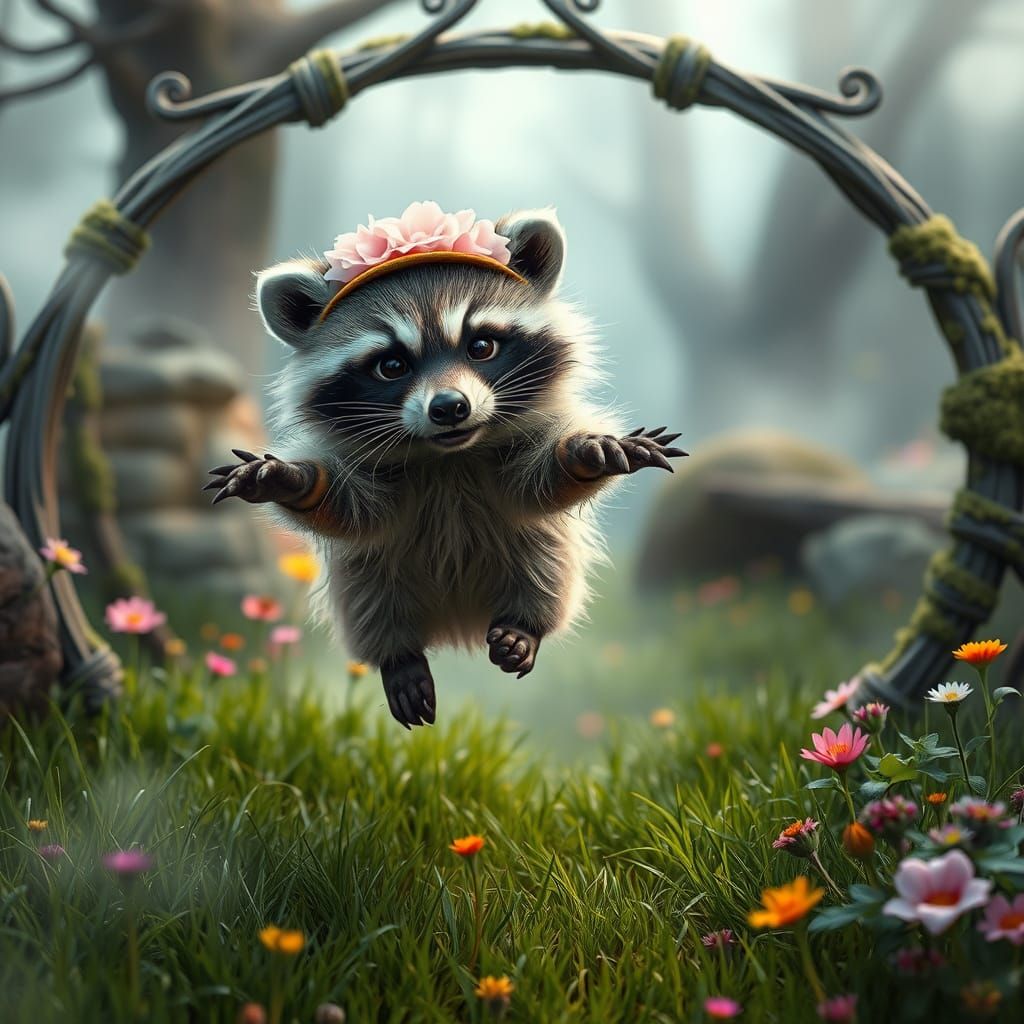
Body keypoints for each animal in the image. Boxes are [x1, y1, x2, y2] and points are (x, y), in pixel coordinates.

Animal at [208, 208, 685, 728]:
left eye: (481, 346)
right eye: (392, 365)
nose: (450, 407)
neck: (448, 457)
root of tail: (459, 623)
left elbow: (539, 486)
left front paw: (583, 452)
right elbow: (352, 511)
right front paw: (292, 479)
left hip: (538, 556)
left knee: (547, 566)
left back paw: (526, 625)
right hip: (370, 580)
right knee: (369, 601)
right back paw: (398, 657)